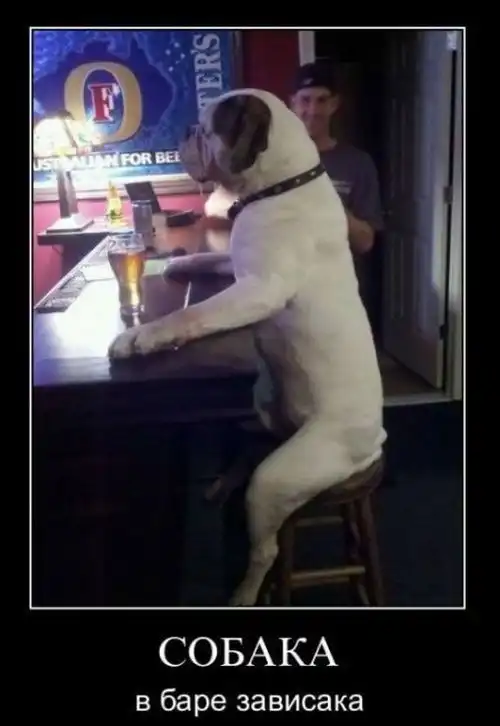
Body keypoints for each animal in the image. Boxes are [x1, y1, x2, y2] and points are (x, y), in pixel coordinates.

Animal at [108, 89, 387, 606]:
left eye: (205, 128)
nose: (184, 131)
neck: (279, 185)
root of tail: (372, 444)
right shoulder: (240, 270)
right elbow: (213, 259)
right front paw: (182, 262)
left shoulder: (258, 289)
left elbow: (191, 315)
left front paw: (142, 337)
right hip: (265, 406)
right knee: (250, 444)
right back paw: (223, 479)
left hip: (278, 480)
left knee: (267, 548)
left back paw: (244, 591)